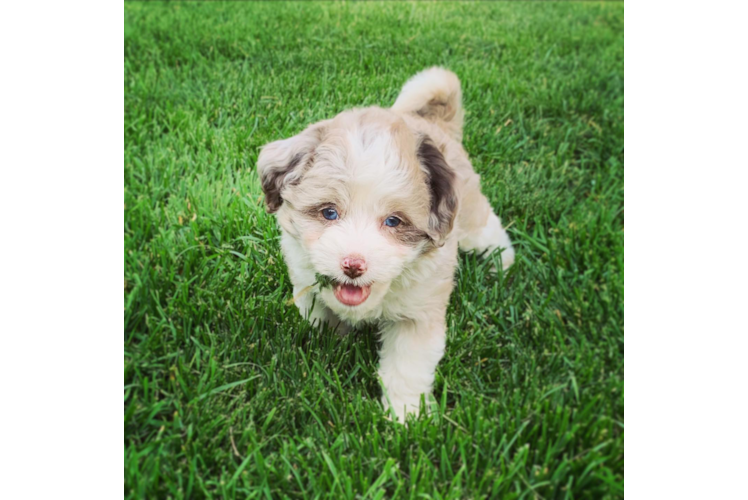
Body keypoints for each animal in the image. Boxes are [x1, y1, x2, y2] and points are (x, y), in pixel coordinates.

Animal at [258, 67, 516, 422]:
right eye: (329, 212)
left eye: (393, 221)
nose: (353, 265)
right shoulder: (305, 281)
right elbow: (320, 317)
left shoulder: (418, 316)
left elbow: (407, 367)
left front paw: (407, 417)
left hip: (470, 212)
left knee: (486, 227)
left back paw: (502, 260)